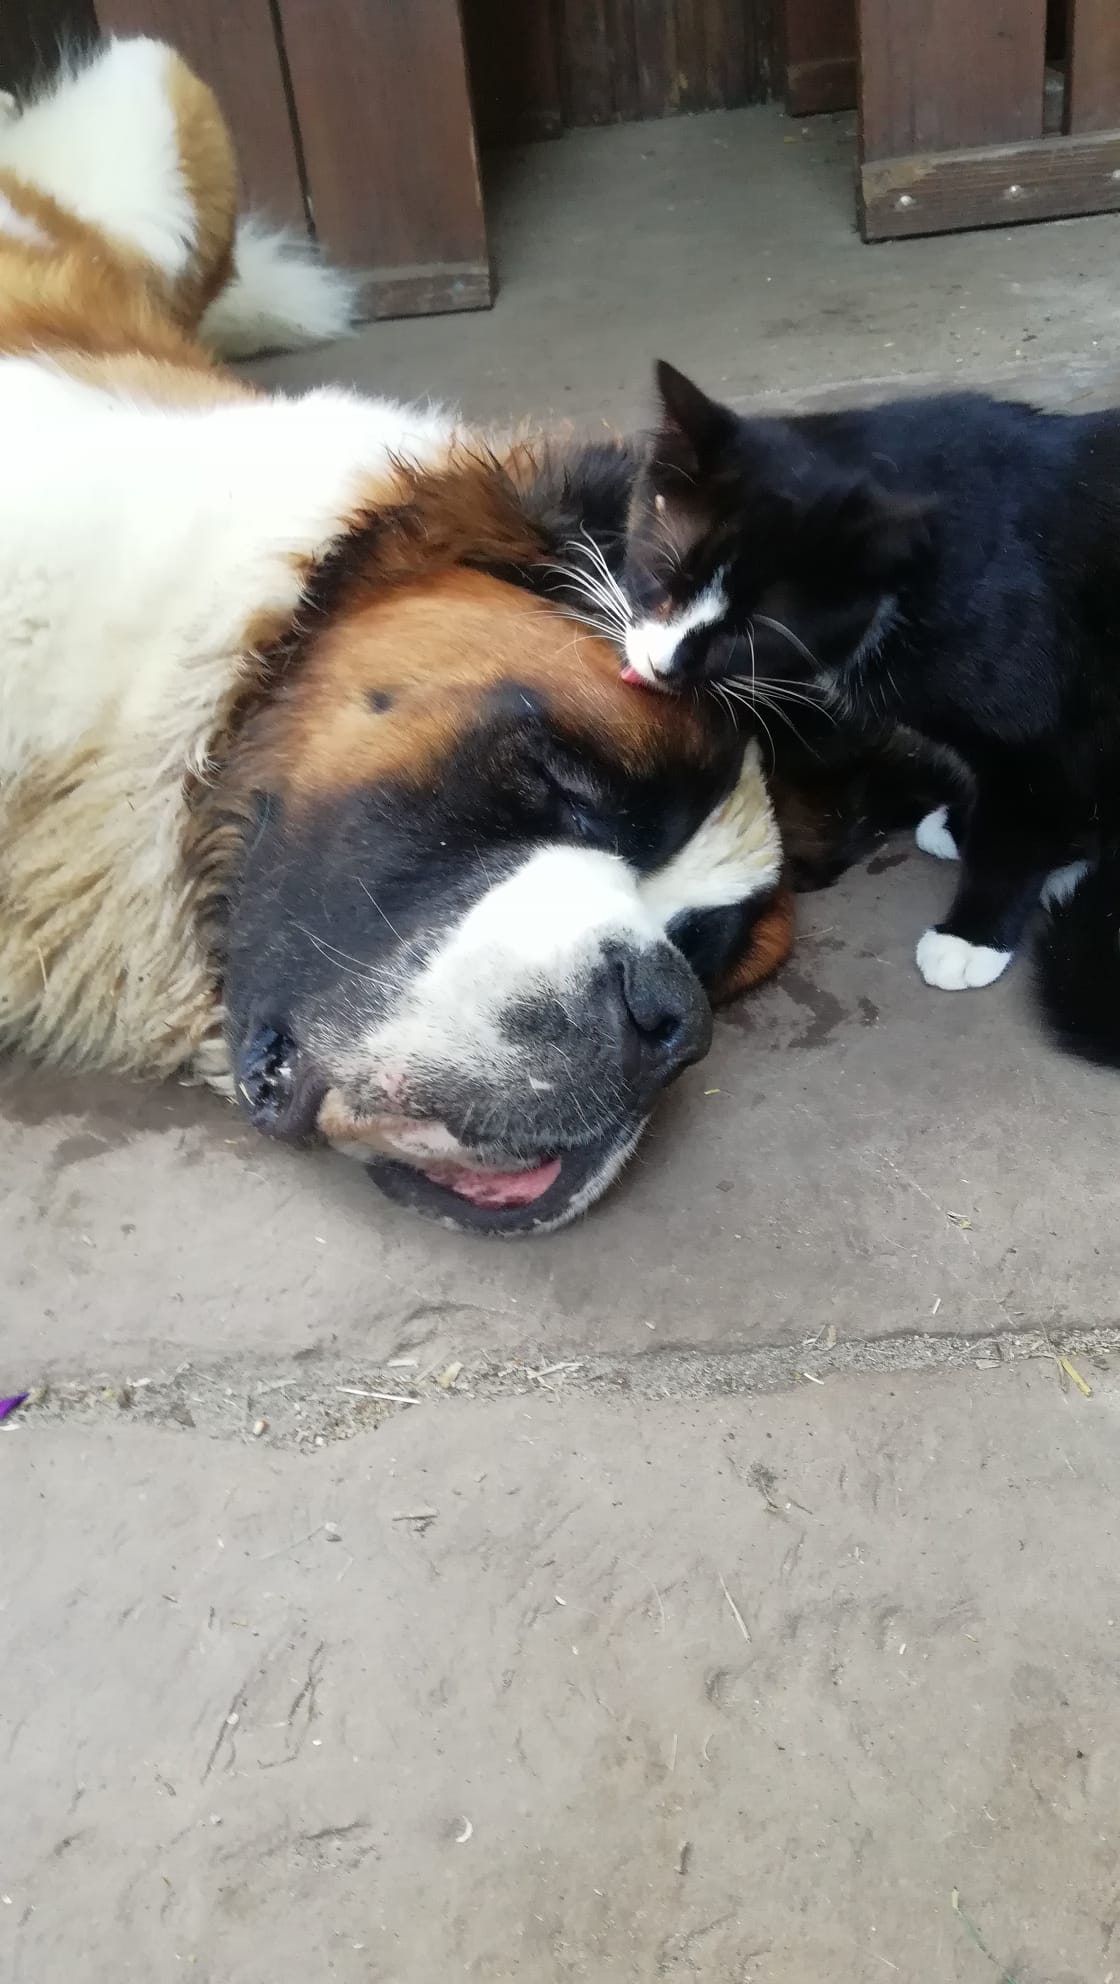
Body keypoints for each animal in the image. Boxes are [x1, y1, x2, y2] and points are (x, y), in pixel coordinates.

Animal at [585, 358, 1120, 1034]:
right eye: (661, 578)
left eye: (751, 634)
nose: (665, 664)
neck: (909, 582)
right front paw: (960, 825)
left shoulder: (1045, 725)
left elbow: (1022, 817)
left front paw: (972, 935)